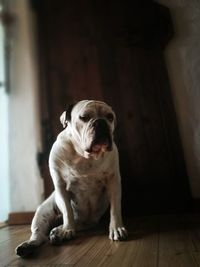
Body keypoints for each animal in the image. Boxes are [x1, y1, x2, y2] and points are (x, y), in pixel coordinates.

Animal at [16, 100, 127, 258]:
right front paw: (67, 229)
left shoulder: (114, 182)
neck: (84, 156)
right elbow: (67, 210)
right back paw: (30, 244)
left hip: (87, 221)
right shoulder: (60, 185)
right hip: (42, 212)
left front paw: (117, 228)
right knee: (39, 234)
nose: (100, 122)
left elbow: (115, 208)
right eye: (84, 117)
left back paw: (56, 232)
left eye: (110, 117)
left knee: (76, 224)